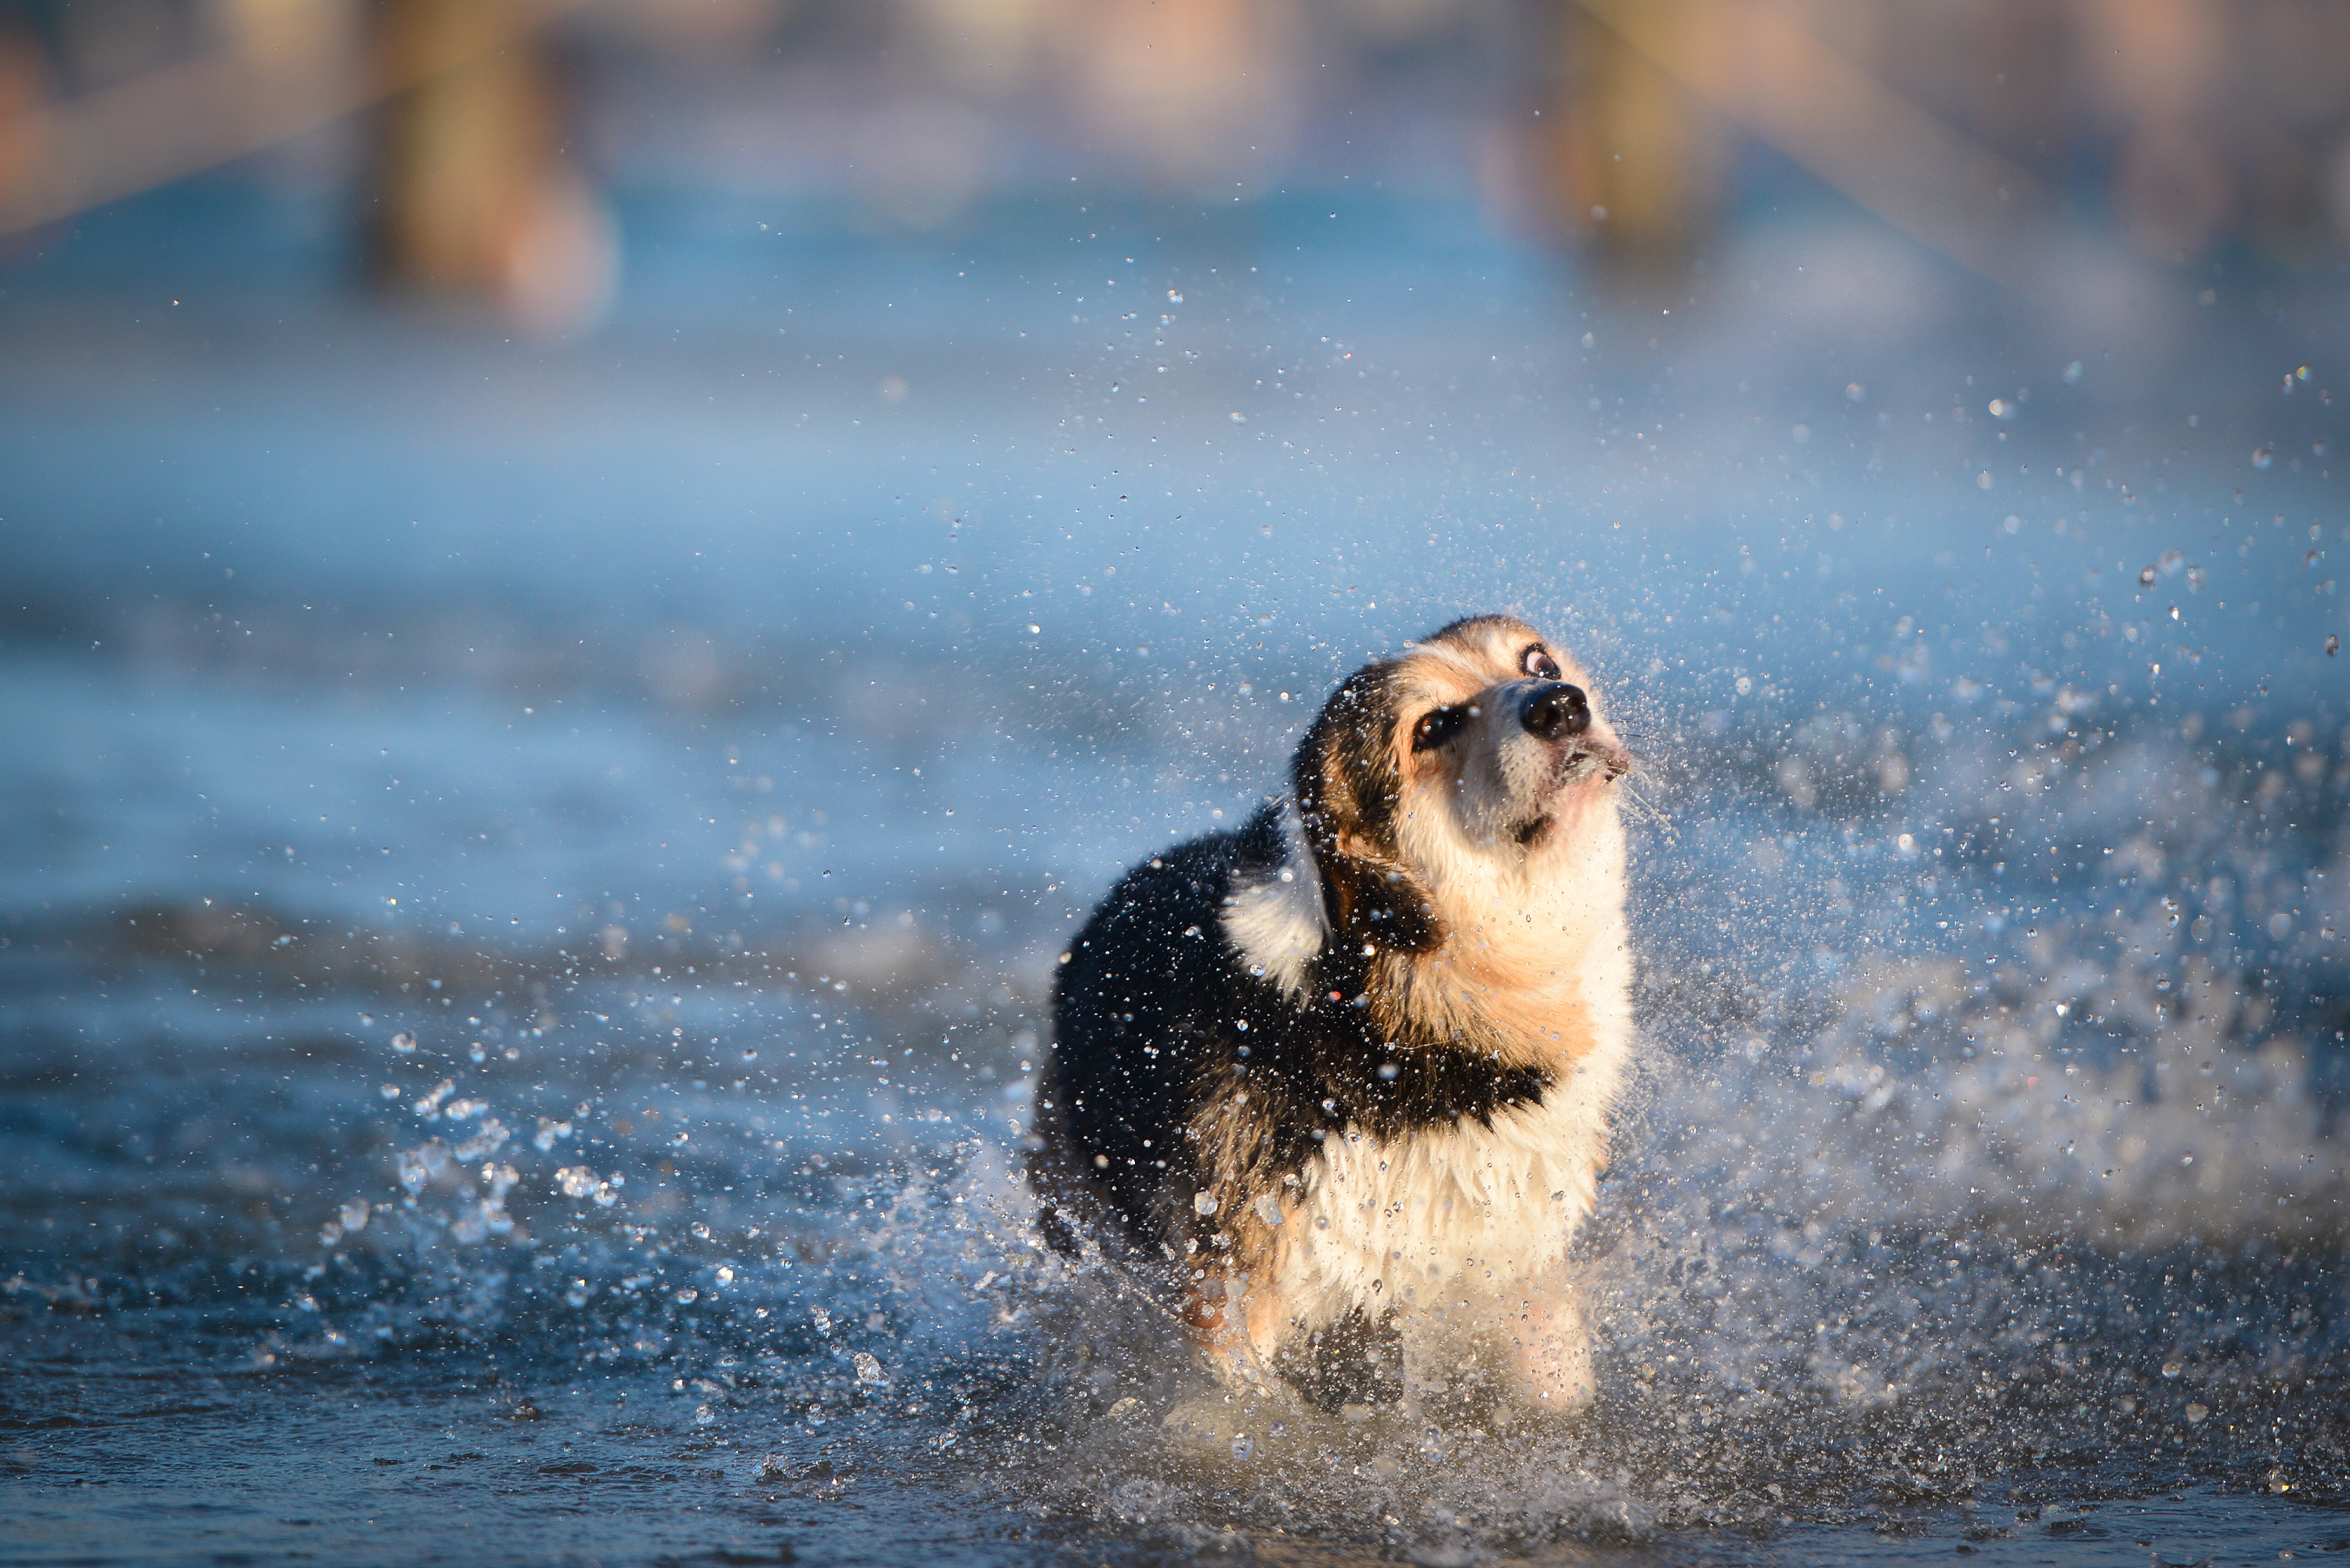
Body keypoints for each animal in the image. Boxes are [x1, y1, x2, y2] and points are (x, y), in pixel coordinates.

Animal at [1034, 611, 1636, 1419]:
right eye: (1433, 726)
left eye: (1536, 660)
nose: (1561, 705)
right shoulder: (1232, 1291)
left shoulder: (1519, 1262)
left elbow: (1558, 1376)